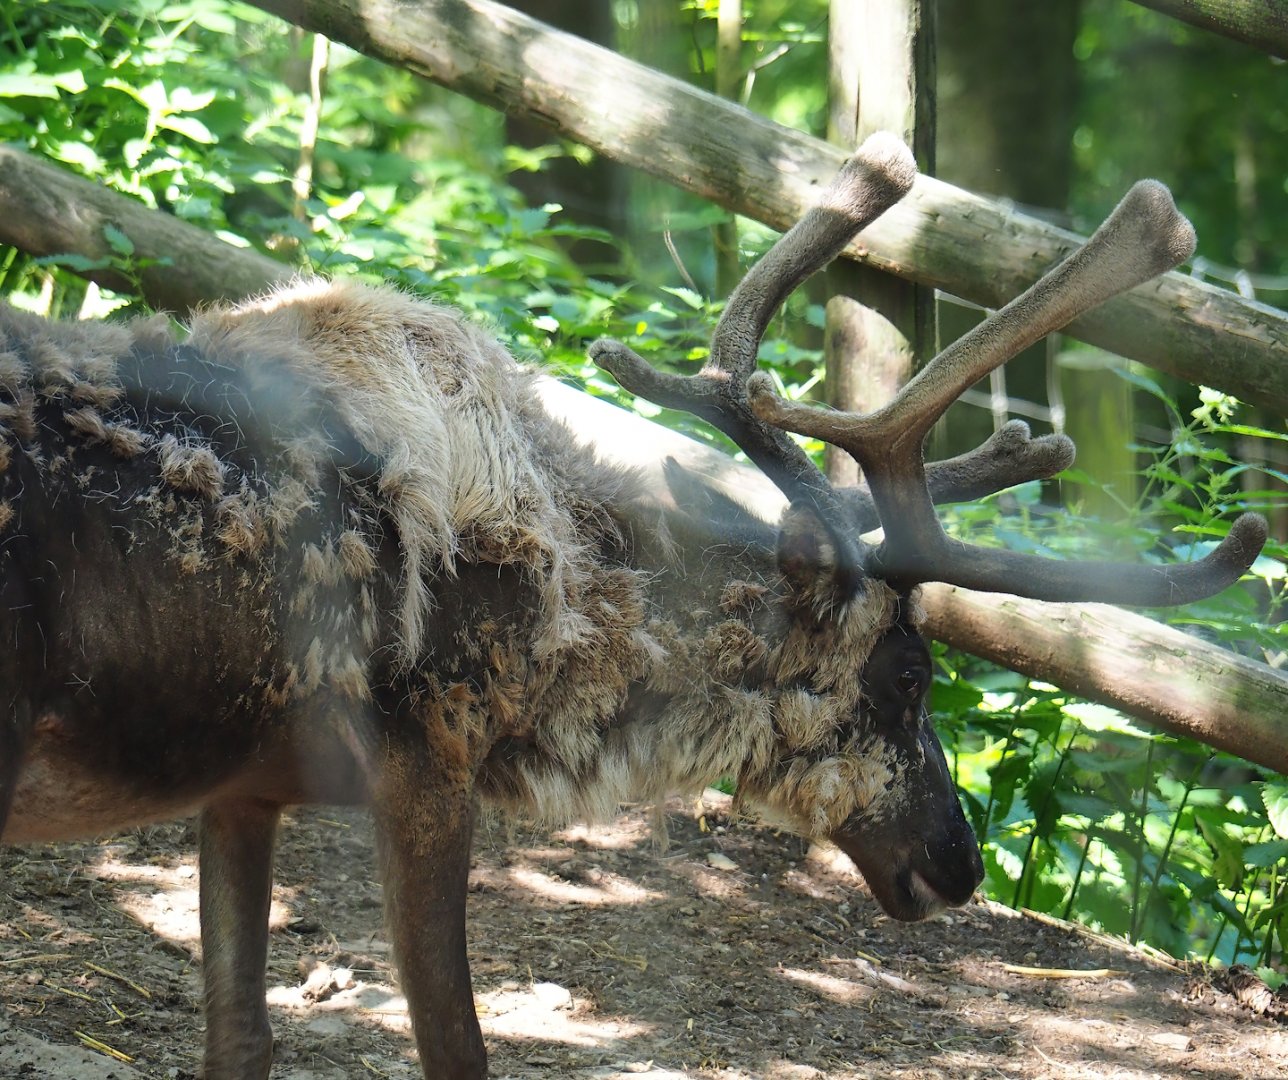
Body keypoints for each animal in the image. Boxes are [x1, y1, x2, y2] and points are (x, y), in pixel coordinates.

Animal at [0, 132, 1266, 1079]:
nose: (957, 863)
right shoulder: (428, 767)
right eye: (906, 676)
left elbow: (240, 1040)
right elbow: (456, 1047)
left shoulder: (241, 792)